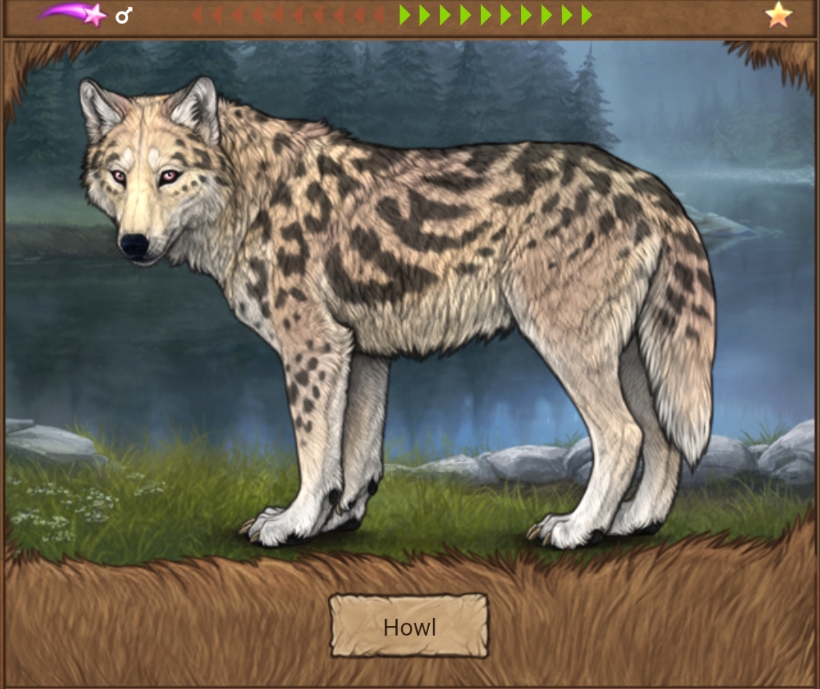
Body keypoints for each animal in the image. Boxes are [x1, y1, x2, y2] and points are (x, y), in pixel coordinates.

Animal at [79, 76, 716, 550]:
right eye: (120, 176)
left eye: (169, 176)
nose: (132, 244)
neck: (250, 195)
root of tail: (647, 183)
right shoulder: (361, 353)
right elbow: (354, 457)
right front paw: (335, 521)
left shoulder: (314, 346)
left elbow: (315, 453)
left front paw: (293, 524)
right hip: (631, 359)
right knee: (662, 439)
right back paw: (633, 523)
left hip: (570, 348)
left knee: (623, 435)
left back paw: (578, 528)